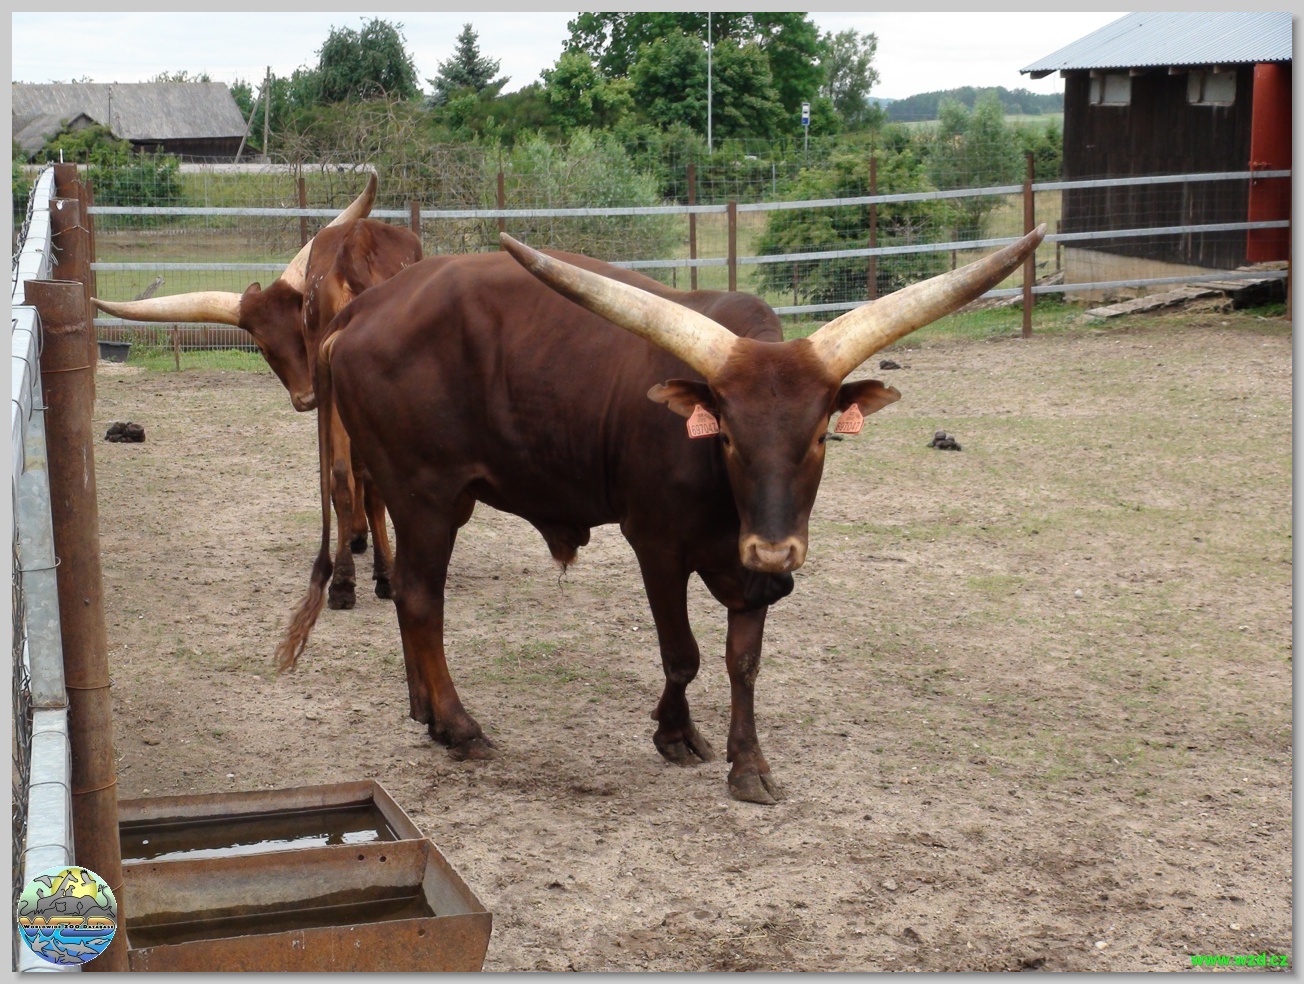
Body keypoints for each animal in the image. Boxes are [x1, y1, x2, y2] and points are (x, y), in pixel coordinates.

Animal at [91, 174, 421, 607]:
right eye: (263, 348)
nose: (305, 398)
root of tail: (356, 249)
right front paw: (360, 538)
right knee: (359, 477)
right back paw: (376, 576)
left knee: (342, 476)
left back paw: (347, 582)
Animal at [277, 226, 1045, 804]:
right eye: (728, 436)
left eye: (822, 436)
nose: (778, 553)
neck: (722, 486)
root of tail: (361, 312)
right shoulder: (657, 545)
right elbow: (684, 654)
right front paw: (674, 734)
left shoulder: (747, 562)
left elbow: (743, 661)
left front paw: (749, 763)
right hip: (426, 494)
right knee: (420, 598)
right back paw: (460, 726)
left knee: (413, 594)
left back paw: (426, 713)